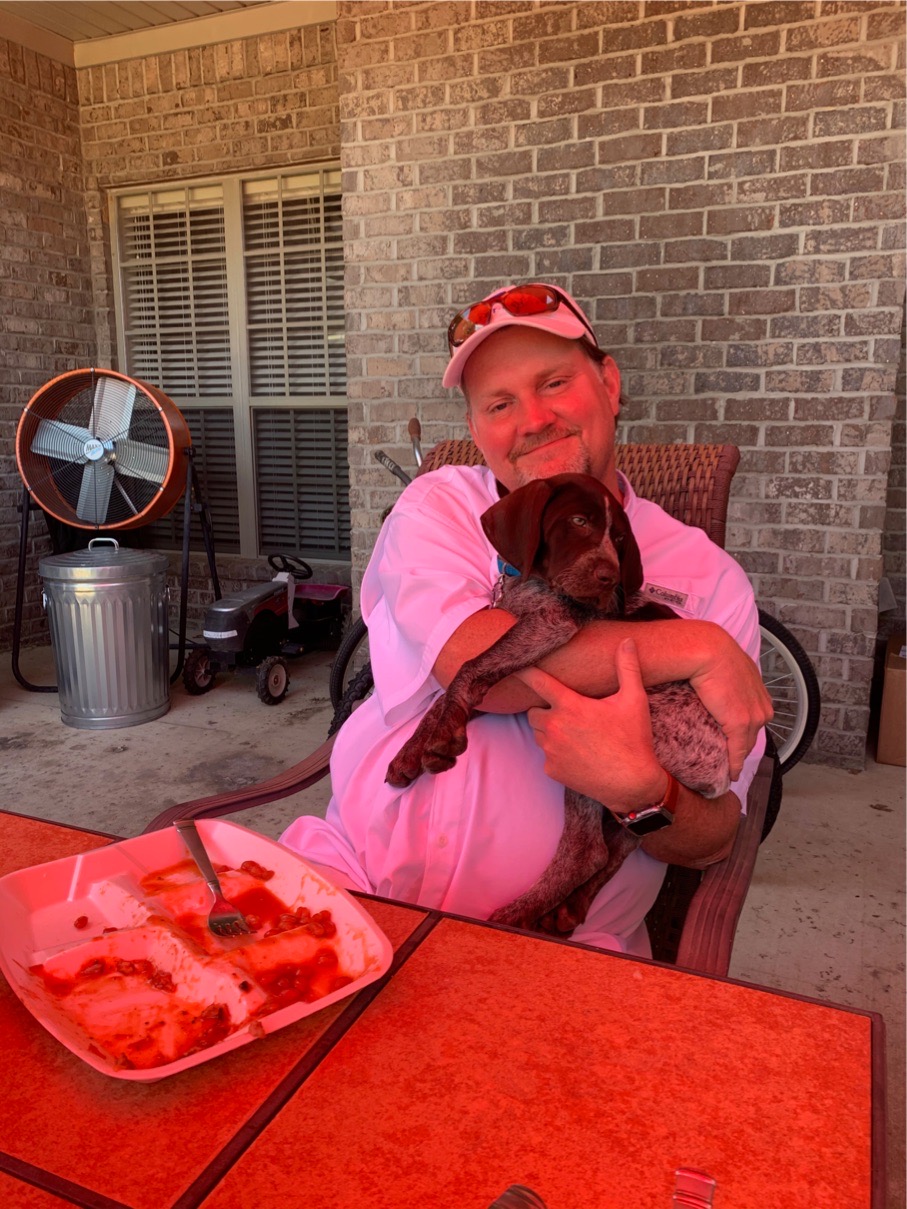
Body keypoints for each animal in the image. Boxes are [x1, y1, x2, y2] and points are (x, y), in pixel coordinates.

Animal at [385, 473, 730, 936]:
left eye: (619, 539)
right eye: (579, 521)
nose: (609, 578)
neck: (528, 583)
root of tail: (723, 769)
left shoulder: (552, 623)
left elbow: (468, 669)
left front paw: (439, 740)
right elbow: (446, 697)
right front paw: (413, 750)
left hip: (600, 757)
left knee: (588, 852)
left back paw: (513, 918)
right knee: (619, 844)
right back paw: (567, 909)